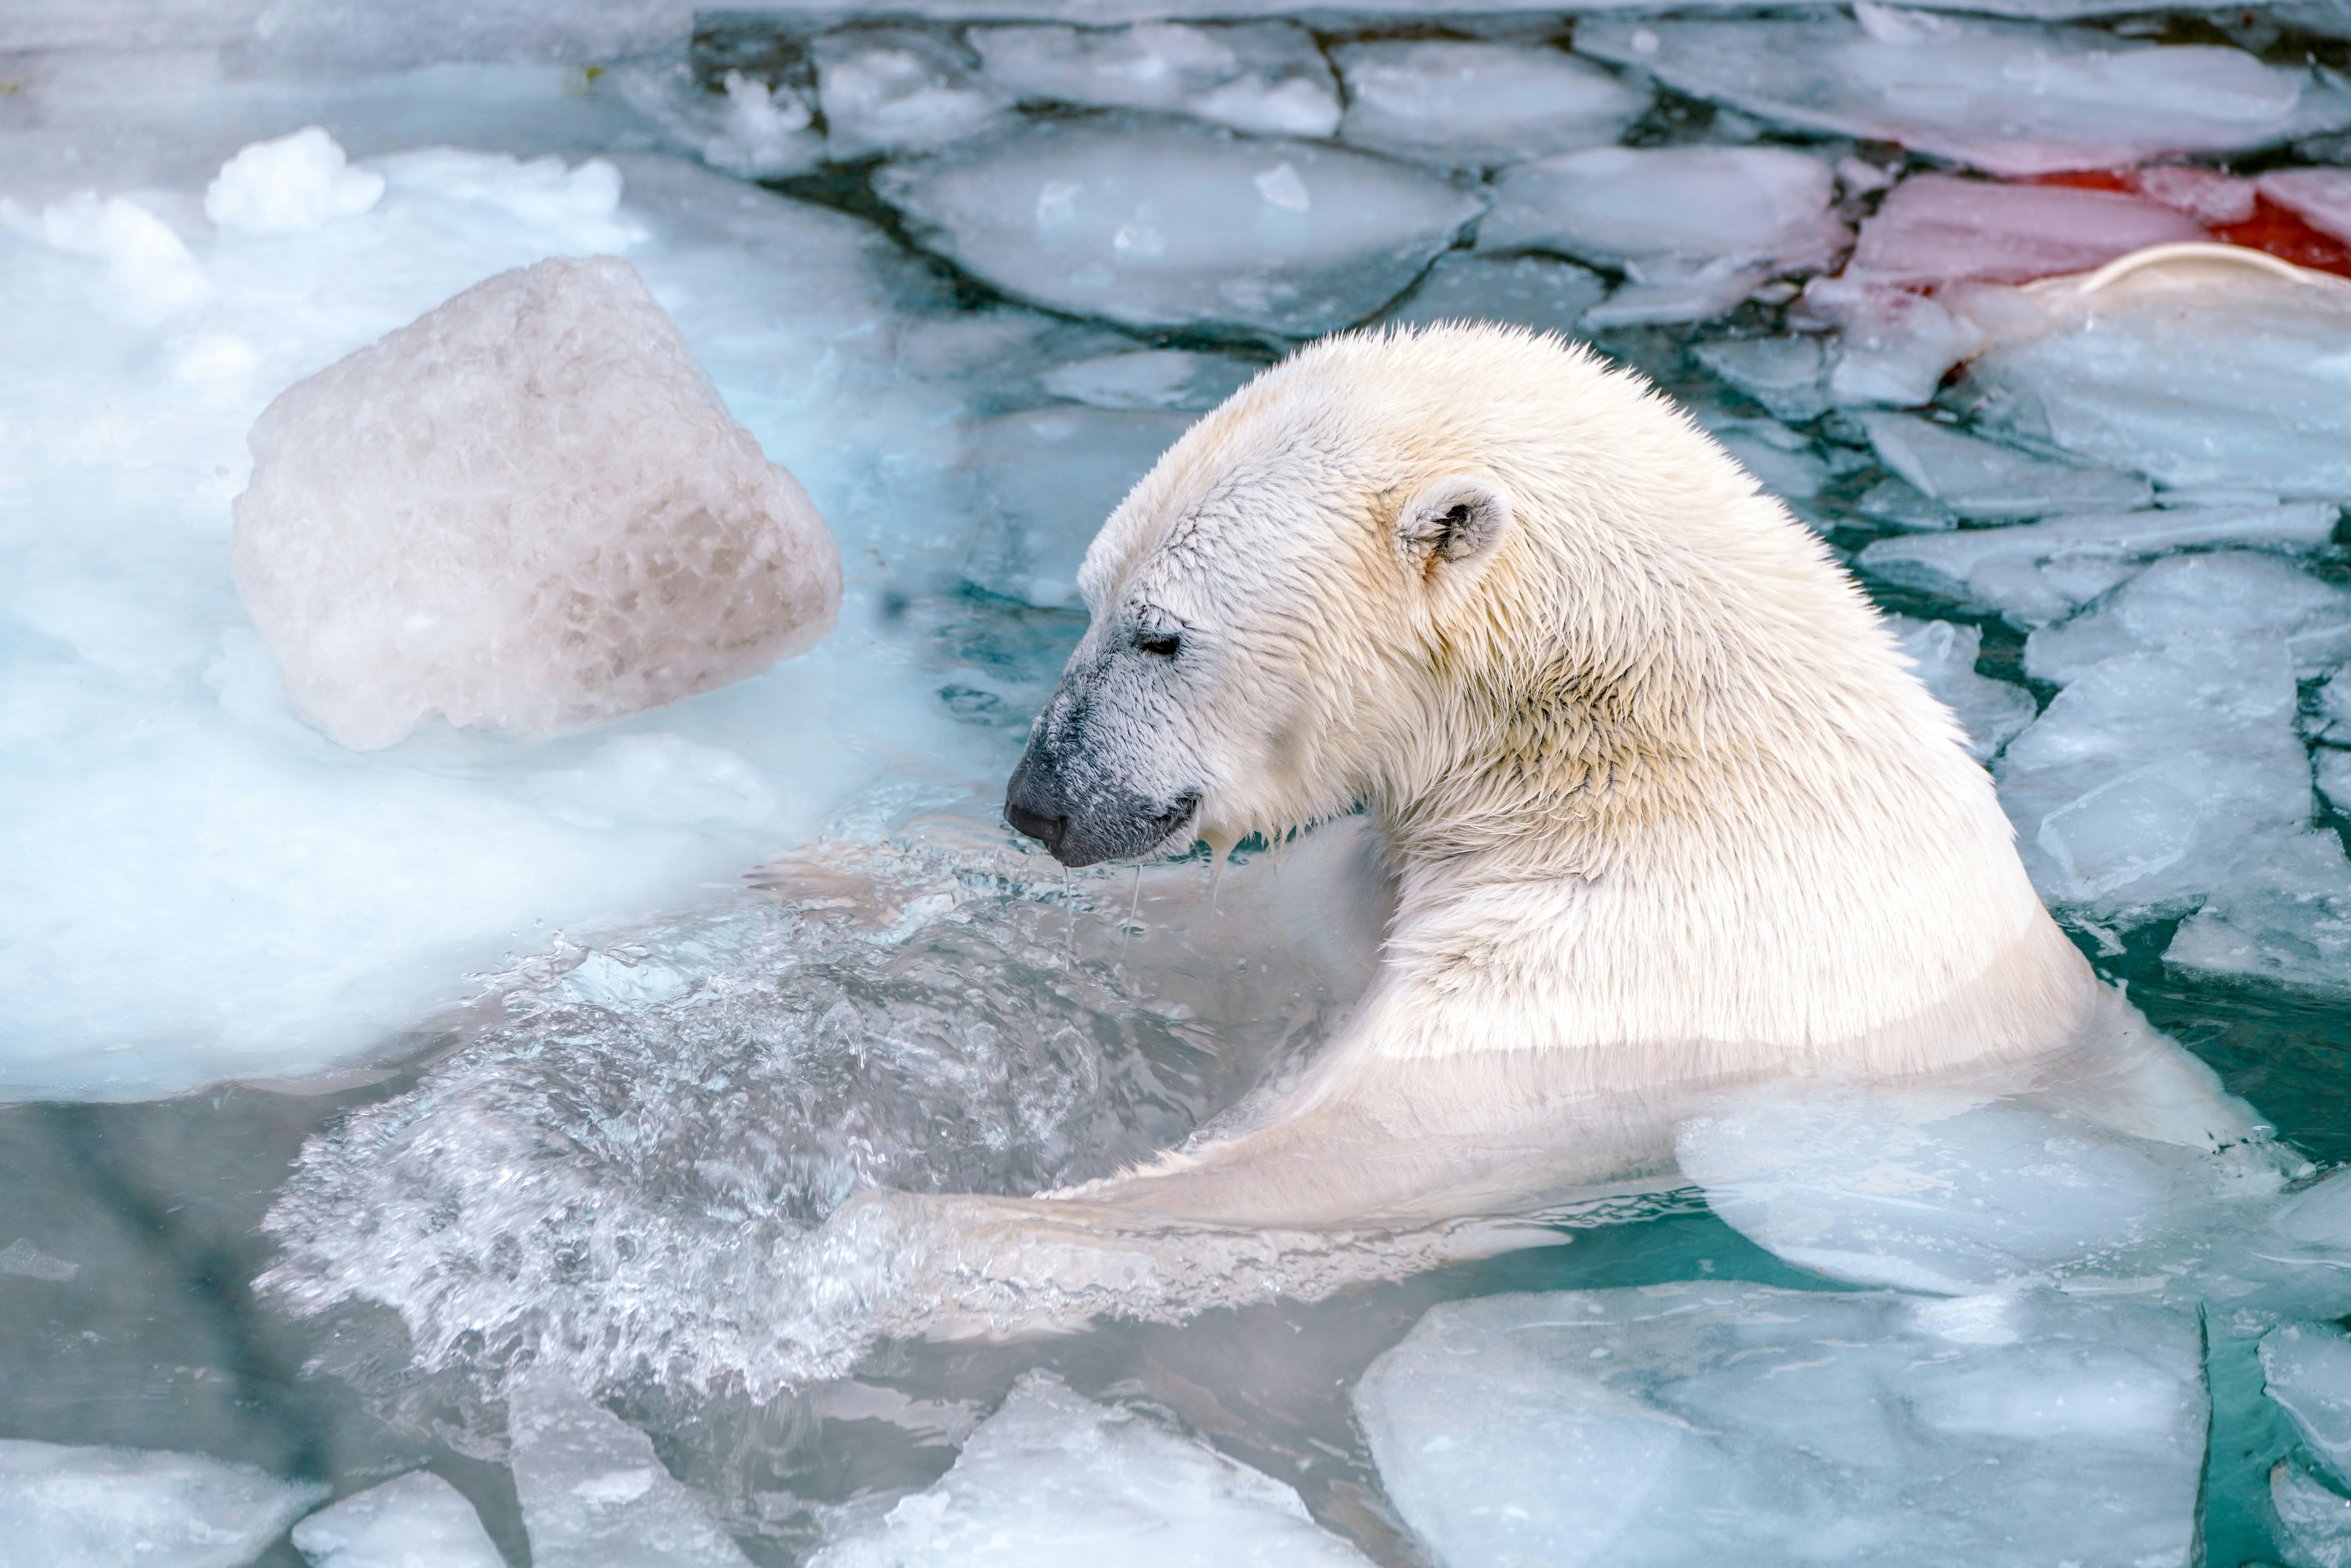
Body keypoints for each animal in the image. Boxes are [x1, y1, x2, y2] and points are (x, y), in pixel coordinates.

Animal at [835, 322, 2269, 1333]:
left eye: (1159, 634)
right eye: (1088, 600)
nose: (1037, 802)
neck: (1636, 746)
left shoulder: (1644, 958)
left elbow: (1376, 1140)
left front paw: (905, 1241)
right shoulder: (1395, 867)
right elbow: (1238, 933)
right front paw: (853, 874)